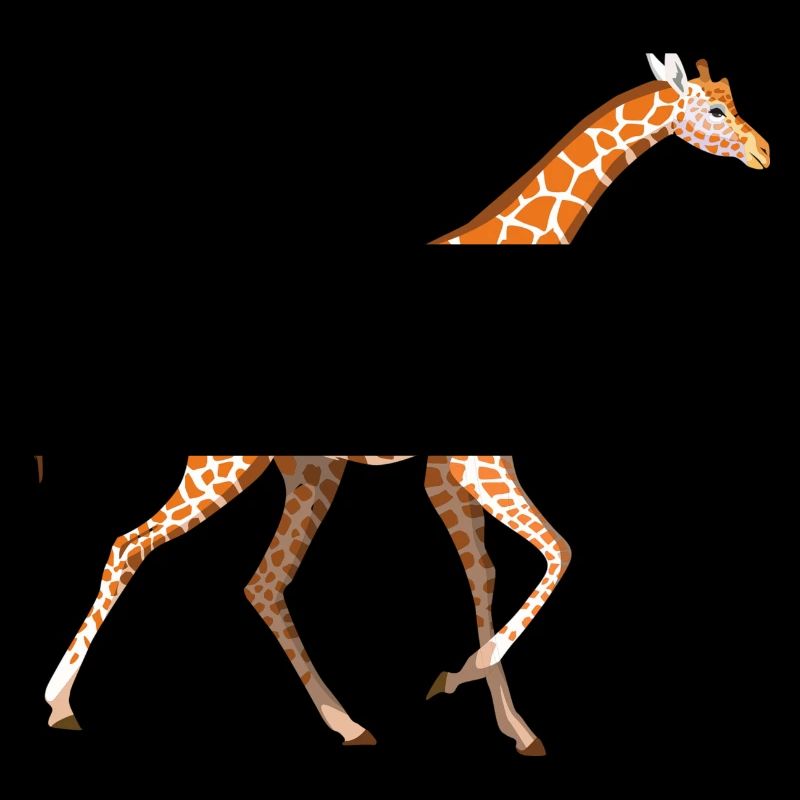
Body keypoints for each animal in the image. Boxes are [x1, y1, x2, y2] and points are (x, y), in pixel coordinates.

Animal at [43, 455, 569, 756]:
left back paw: (346, 724)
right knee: (131, 543)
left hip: (310, 469)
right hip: (231, 462)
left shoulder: (449, 467)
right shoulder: (472, 461)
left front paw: (515, 728)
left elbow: (484, 573)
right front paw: (457, 678)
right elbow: (558, 552)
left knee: (266, 581)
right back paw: (59, 703)